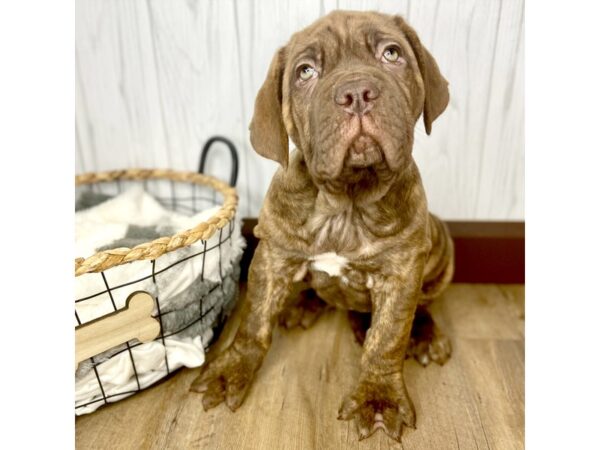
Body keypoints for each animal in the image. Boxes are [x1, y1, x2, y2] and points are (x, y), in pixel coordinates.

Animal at [192, 10, 454, 442]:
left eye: (392, 53)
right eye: (306, 72)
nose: (357, 93)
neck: (345, 203)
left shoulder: (401, 273)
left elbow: (389, 337)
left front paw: (378, 397)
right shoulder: (272, 254)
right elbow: (253, 322)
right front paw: (230, 371)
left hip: (441, 249)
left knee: (422, 305)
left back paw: (423, 334)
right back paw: (304, 304)